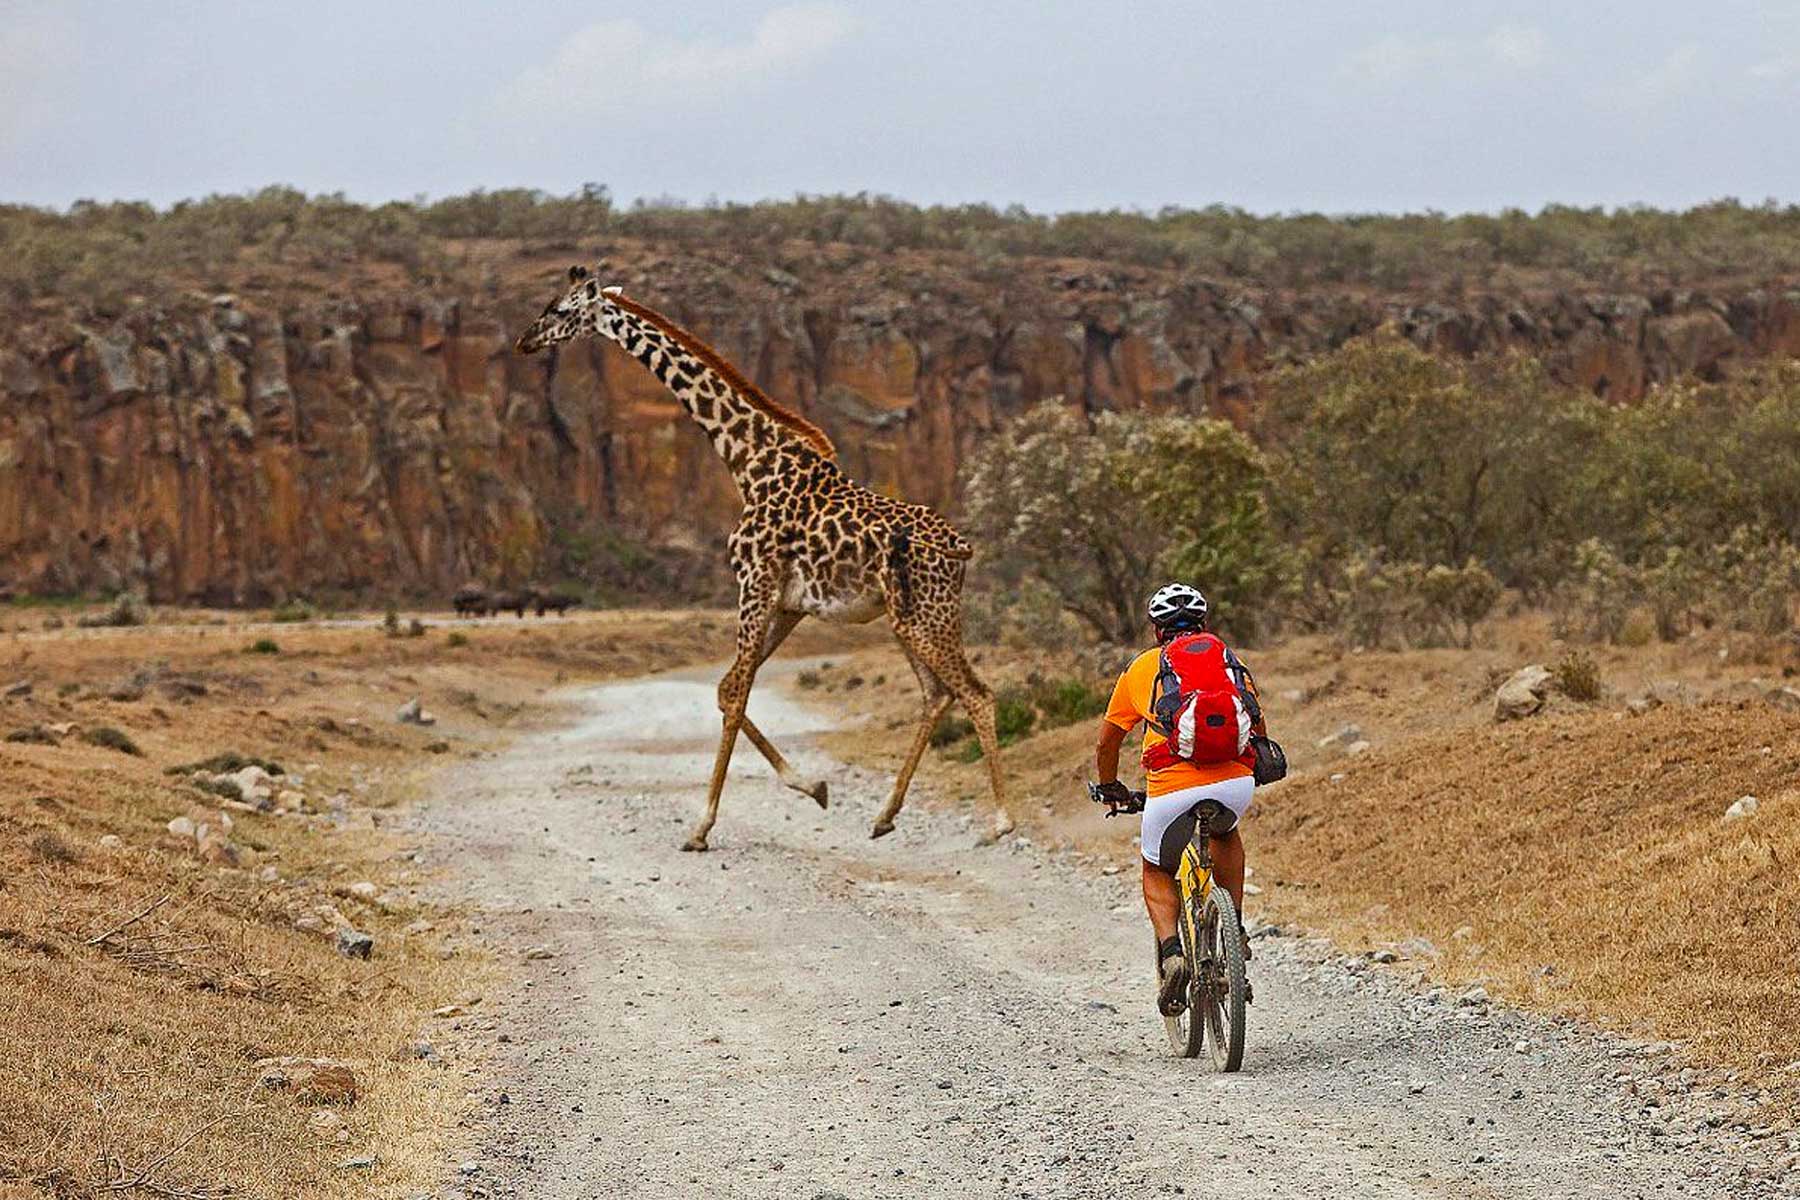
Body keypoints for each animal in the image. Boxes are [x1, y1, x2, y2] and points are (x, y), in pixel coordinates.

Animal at [518, 269, 1015, 852]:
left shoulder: (753, 584)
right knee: (937, 695)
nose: (524, 340)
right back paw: (885, 815)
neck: (747, 462)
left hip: (926, 617)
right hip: (908, 619)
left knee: (976, 693)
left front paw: (701, 826)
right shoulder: (788, 602)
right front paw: (814, 786)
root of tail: (962, 549)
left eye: (558, 309)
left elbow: (735, 696)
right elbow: (725, 688)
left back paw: (1000, 823)